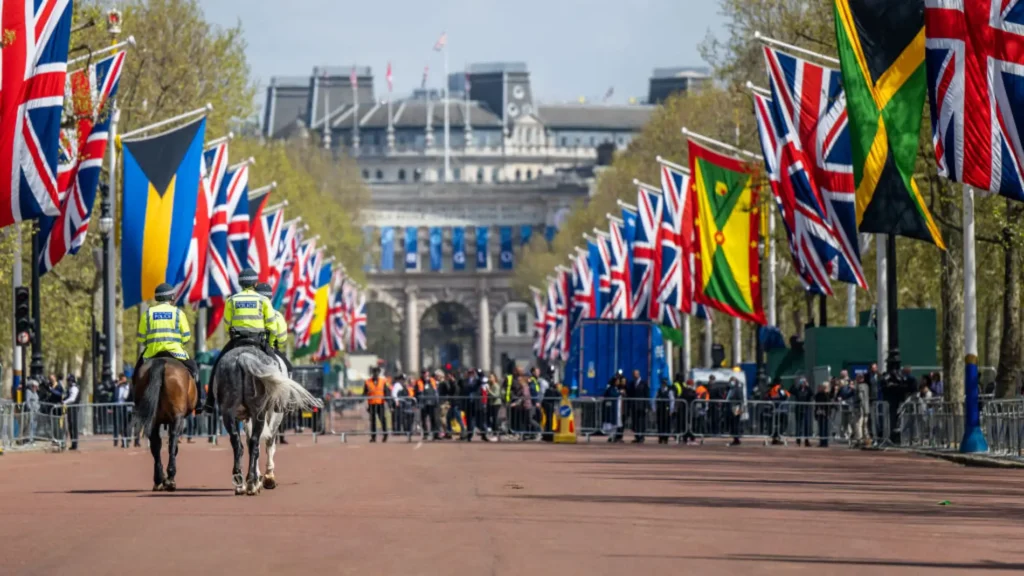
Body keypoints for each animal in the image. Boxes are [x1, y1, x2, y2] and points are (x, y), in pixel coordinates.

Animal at [131, 354, 196, 487]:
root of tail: (161, 362)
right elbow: (173, 444)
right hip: (177, 416)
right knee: (173, 439)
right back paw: (170, 476)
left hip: (153, 418)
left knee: (155, 443)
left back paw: (158, 479)